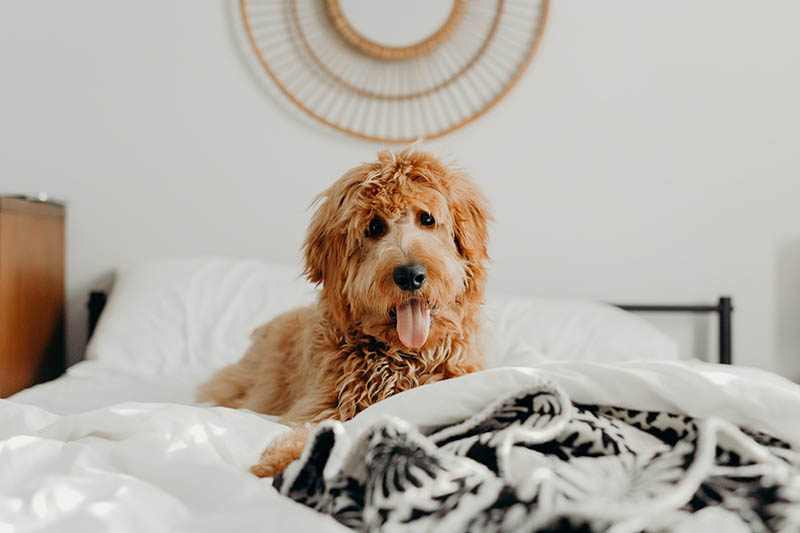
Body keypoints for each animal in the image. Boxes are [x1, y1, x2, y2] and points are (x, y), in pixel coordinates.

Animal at [197, 148, 490, 476]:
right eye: (374, 227)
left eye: (427, 218)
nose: (410, 275)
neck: (402, 358)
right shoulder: (322, 405)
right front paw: (284, 458)